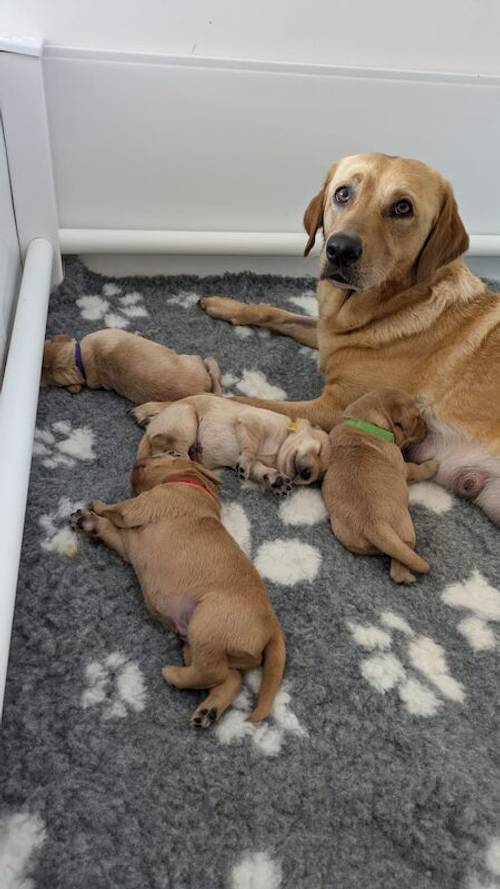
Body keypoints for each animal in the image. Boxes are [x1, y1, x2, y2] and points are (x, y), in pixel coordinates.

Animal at [72, 454, 288, 724]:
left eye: (171, 453)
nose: (141, 458)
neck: (195, 484)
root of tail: (273, 628)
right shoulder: (125, 543)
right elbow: (108, 529)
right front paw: (87, 521)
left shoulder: (143, 504)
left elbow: (118, 508)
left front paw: (97, 506)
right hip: (204, 645)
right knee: (231, 679)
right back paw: (208, 711)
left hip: (207, 626)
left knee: (213, 673)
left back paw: (173, 675)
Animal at [132, 394, 332, 492]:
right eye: (319, 451)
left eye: (315, 479)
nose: (307, 474)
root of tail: (151, 428)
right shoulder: (252, 421)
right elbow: (251, 448)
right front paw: (245, 463)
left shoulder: (261, 464)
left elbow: (260, 470)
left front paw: (278, 481)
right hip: (187, 418)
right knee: (172, 449)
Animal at [201, 153, 500, 524]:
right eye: (342, 194)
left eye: (403, 207)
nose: (340, 249)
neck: (387, 307)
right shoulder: (327, 336)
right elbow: (274, 312)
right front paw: (223, 304)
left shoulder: (336, 408)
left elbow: (248, 402)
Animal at [322, 388, 436, 584]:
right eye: (417, 418)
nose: (428, 428)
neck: (364, 424)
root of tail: (373, 523)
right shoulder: (402, 465)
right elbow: (418, 469)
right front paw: (433, 465)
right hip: (406, 530)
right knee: (400, 562)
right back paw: (407, 577)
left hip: (346, 535)